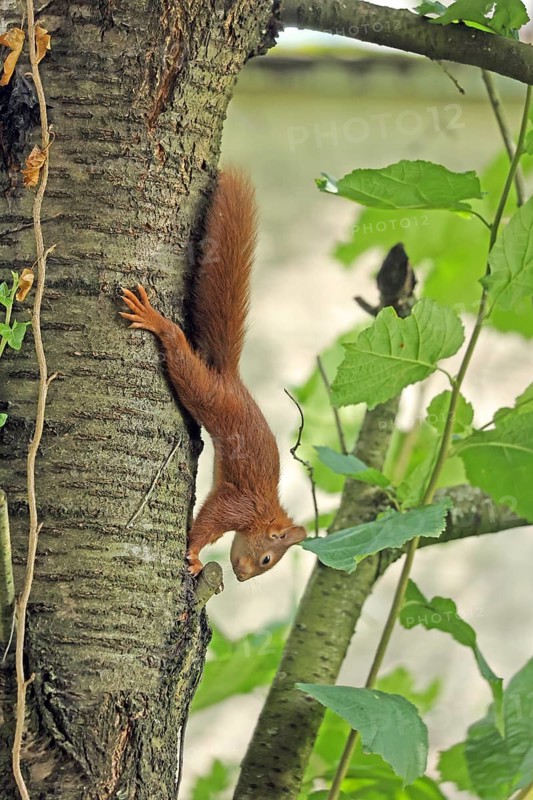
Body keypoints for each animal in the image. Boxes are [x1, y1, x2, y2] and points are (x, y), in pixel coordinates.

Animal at [120, 170, 306, 581]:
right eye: (267, 558)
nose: (241, 577)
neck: (264, 511)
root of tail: (231, 379)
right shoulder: (239, 503)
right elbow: (209, 521)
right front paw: (193, 553)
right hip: (205, 393)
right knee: (180, 354)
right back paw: (157, 322)